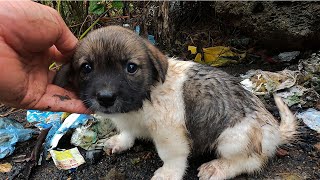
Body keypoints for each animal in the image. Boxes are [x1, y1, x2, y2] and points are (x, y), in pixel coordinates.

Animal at [54, 25, 298, 180]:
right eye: (86, 67)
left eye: (131, 67)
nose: (105, 98)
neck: (144, 98)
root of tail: (275, 130)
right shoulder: (129, 121)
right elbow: (128, 132)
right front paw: (121, 141)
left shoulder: (169, 133)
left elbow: (171, 156)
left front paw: (168, 174)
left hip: (233, 138)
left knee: (251, 161)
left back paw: (218, 167)